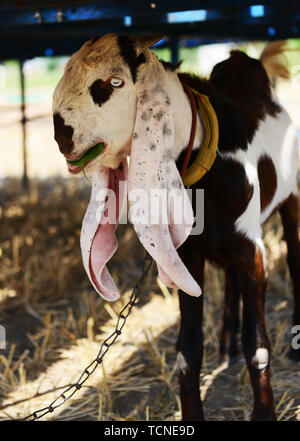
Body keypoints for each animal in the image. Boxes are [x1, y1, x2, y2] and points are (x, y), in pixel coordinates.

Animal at [52, 34, 298, 420]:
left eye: (114, 82)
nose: (61, 135)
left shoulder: (252, 248)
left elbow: (257, 344)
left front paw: (264, 412)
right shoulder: (190, 253)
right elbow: (188, 348)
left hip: (292, 200)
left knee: (294, 258)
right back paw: (226, 347)